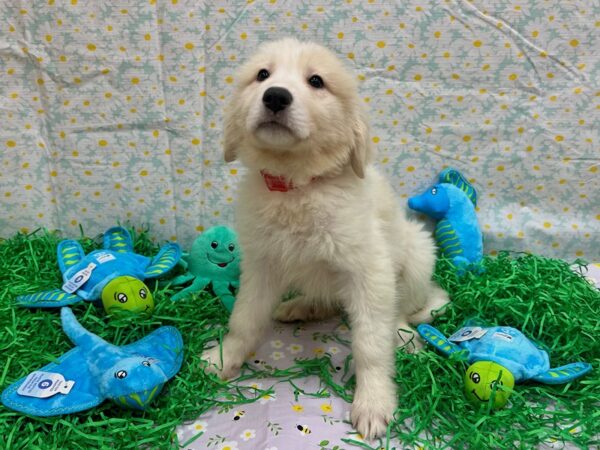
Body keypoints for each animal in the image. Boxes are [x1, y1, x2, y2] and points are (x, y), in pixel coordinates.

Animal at [204, 38, 448, 440]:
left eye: (316, 81)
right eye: (262, 75)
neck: (297, 186)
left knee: (401, 309)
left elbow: (370, 343)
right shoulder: (261, 264)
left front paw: (374, 402)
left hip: (417, 253)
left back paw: (403, 331)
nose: (275, 96)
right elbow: (245, 318)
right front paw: (224, 357)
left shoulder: (369, 270)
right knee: (329, 301)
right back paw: (301, 306)